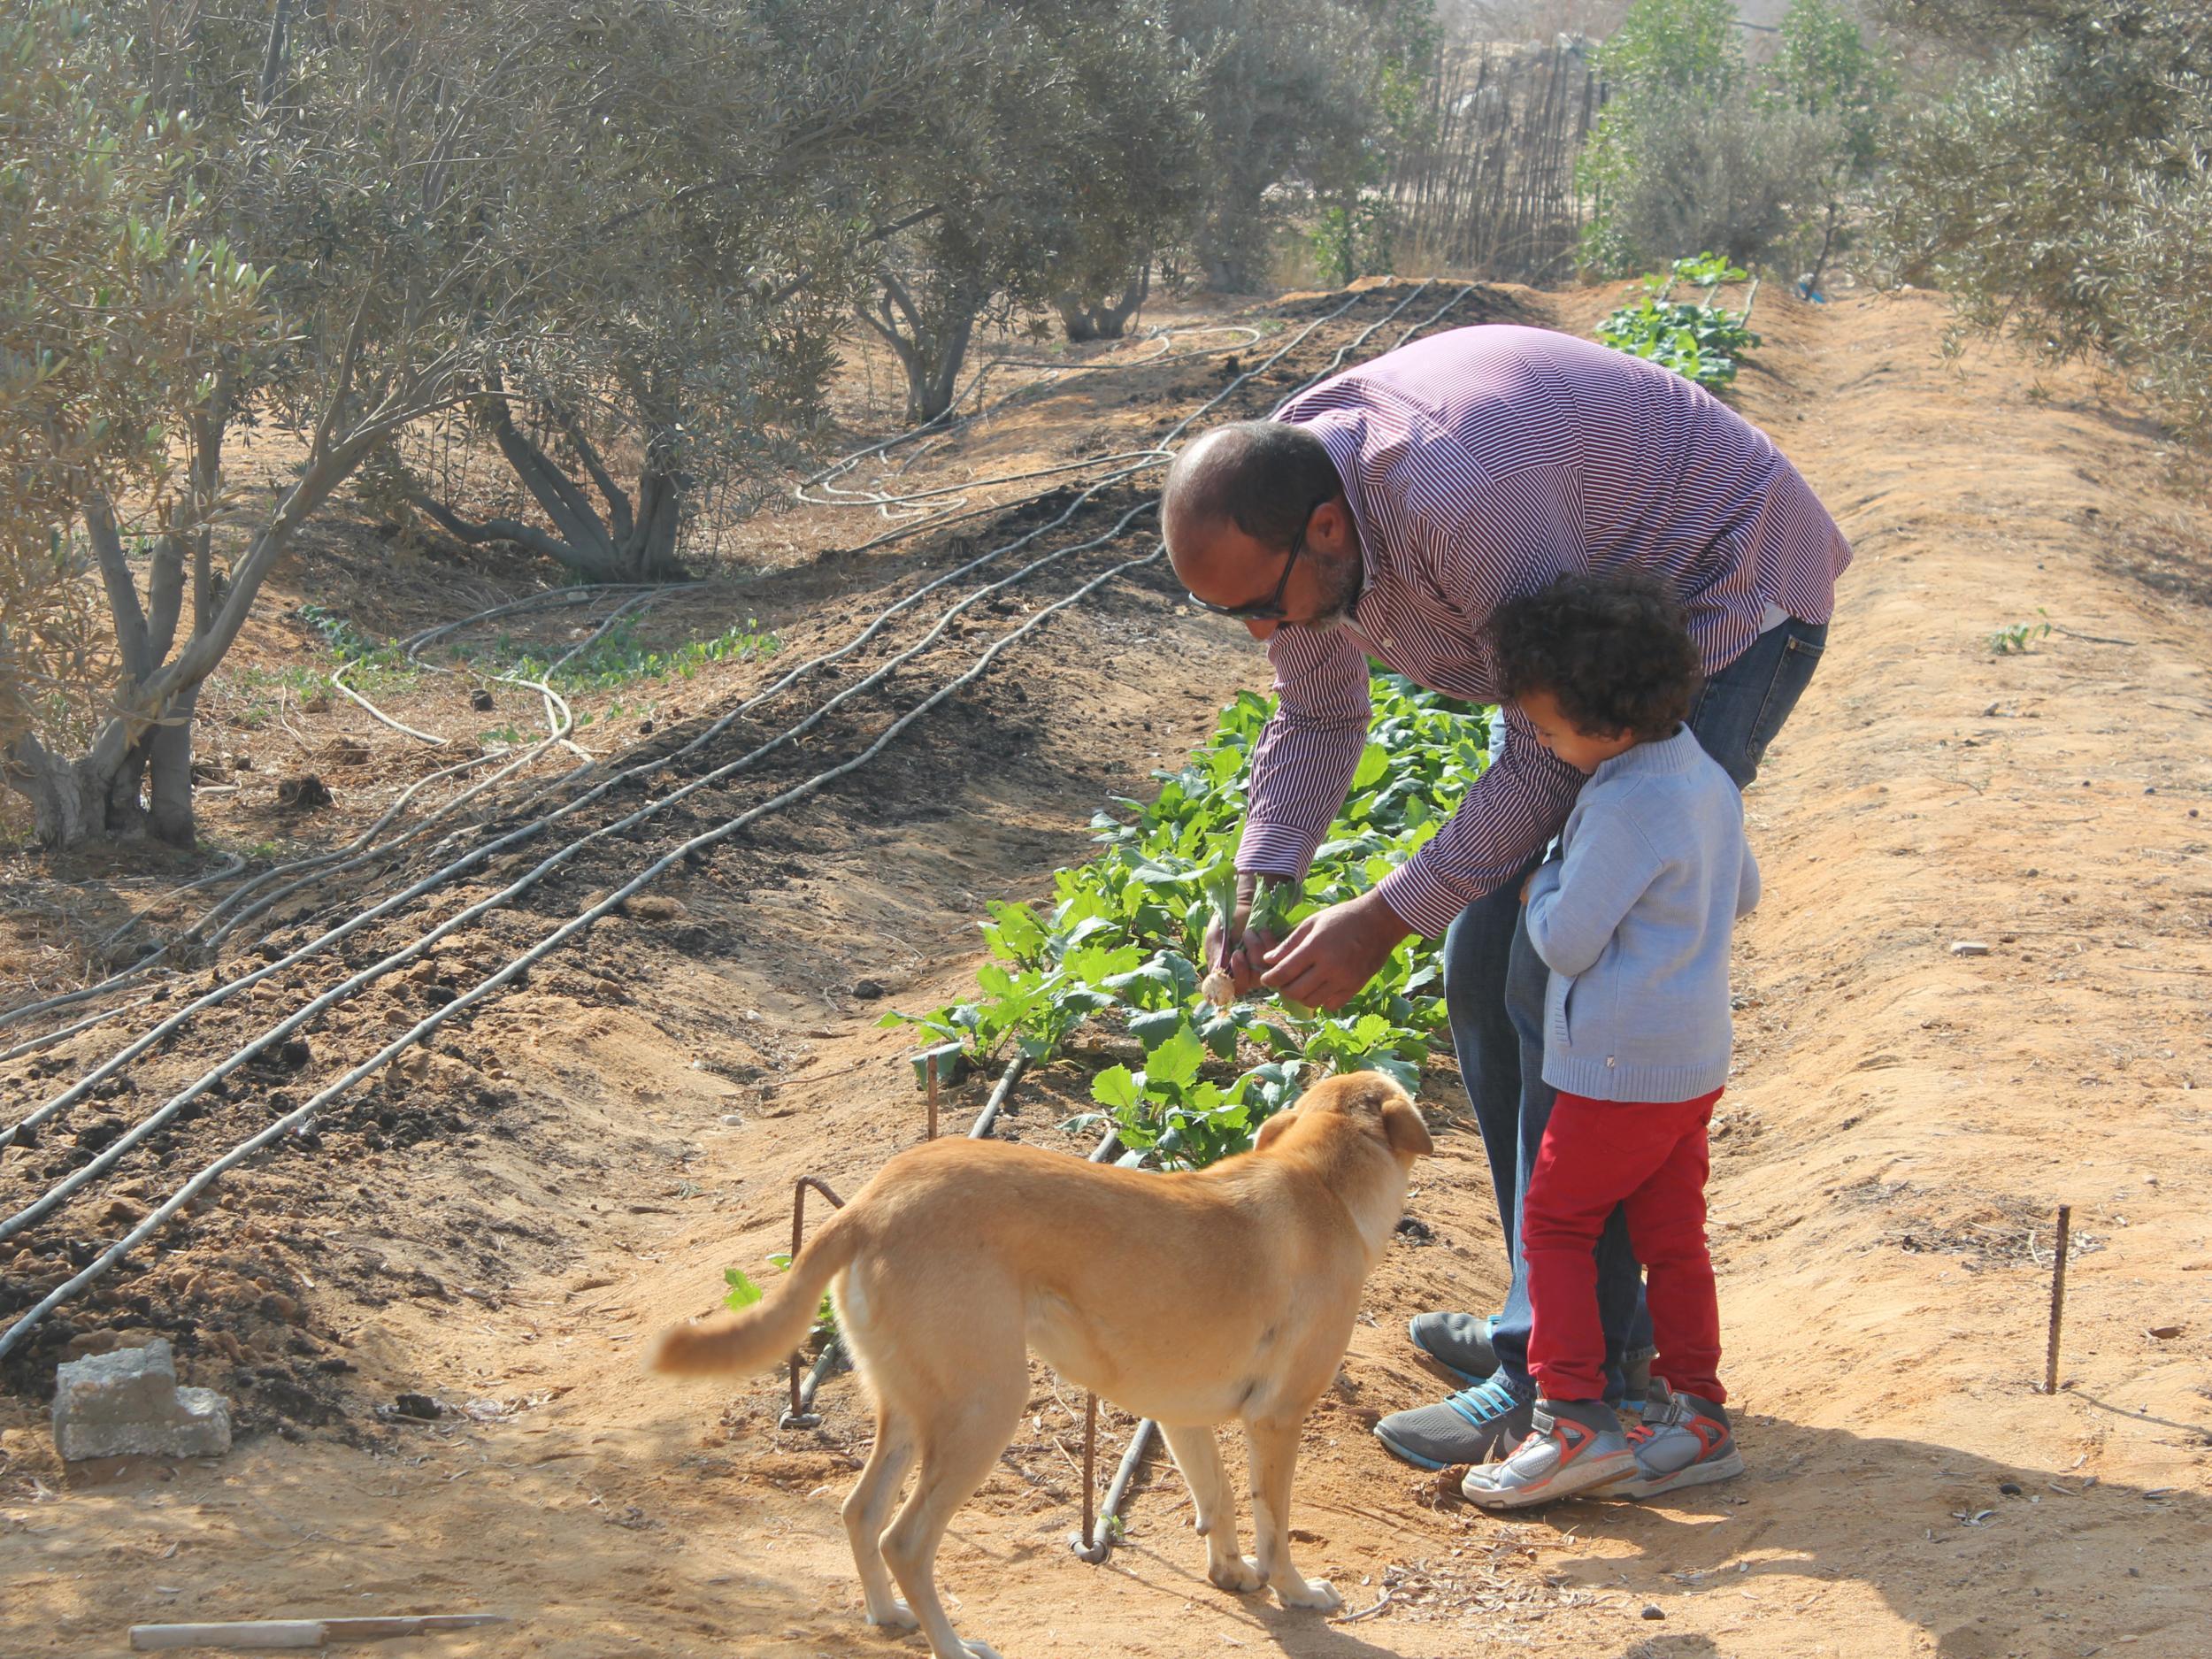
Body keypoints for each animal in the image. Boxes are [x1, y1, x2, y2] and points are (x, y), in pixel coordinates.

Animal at [646, 1071, 1433, 1655]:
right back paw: (952, 1646)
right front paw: (1295, 1590)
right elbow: (1275, 1520)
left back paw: (890, 1616)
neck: (1320, 1178)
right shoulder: (1277, 1418)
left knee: (860, 1511)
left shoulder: (1181, 1416)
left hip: (912, 1408)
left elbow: (1218, 1501)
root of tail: (867, 1205)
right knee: (905, 1539)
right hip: (986, 1408)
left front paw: (1231, 1573)